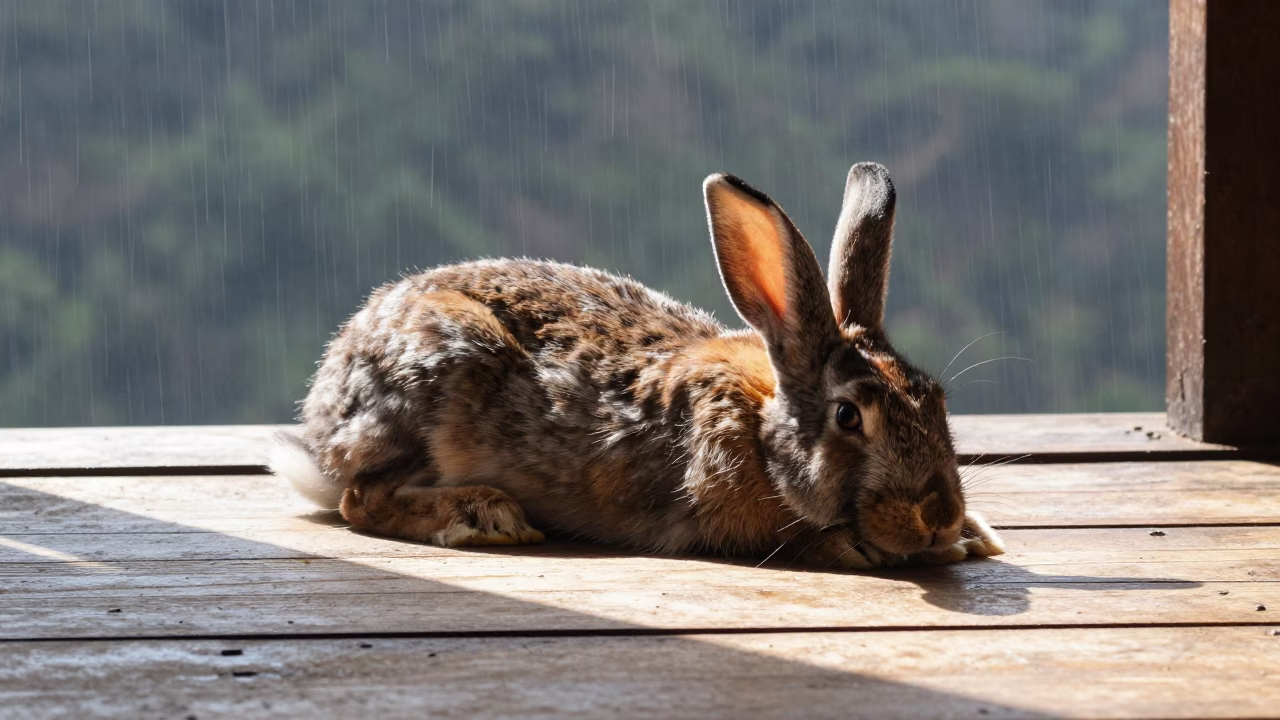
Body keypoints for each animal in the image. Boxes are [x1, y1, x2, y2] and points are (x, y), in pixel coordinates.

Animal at [272, 162, 1004, 569]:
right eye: (849, 416)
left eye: (936, 398)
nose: (939, 514)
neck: (761, 428)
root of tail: (322, 418)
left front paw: (969, 538)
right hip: (439, 370)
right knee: (361, 497)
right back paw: (485, 516)